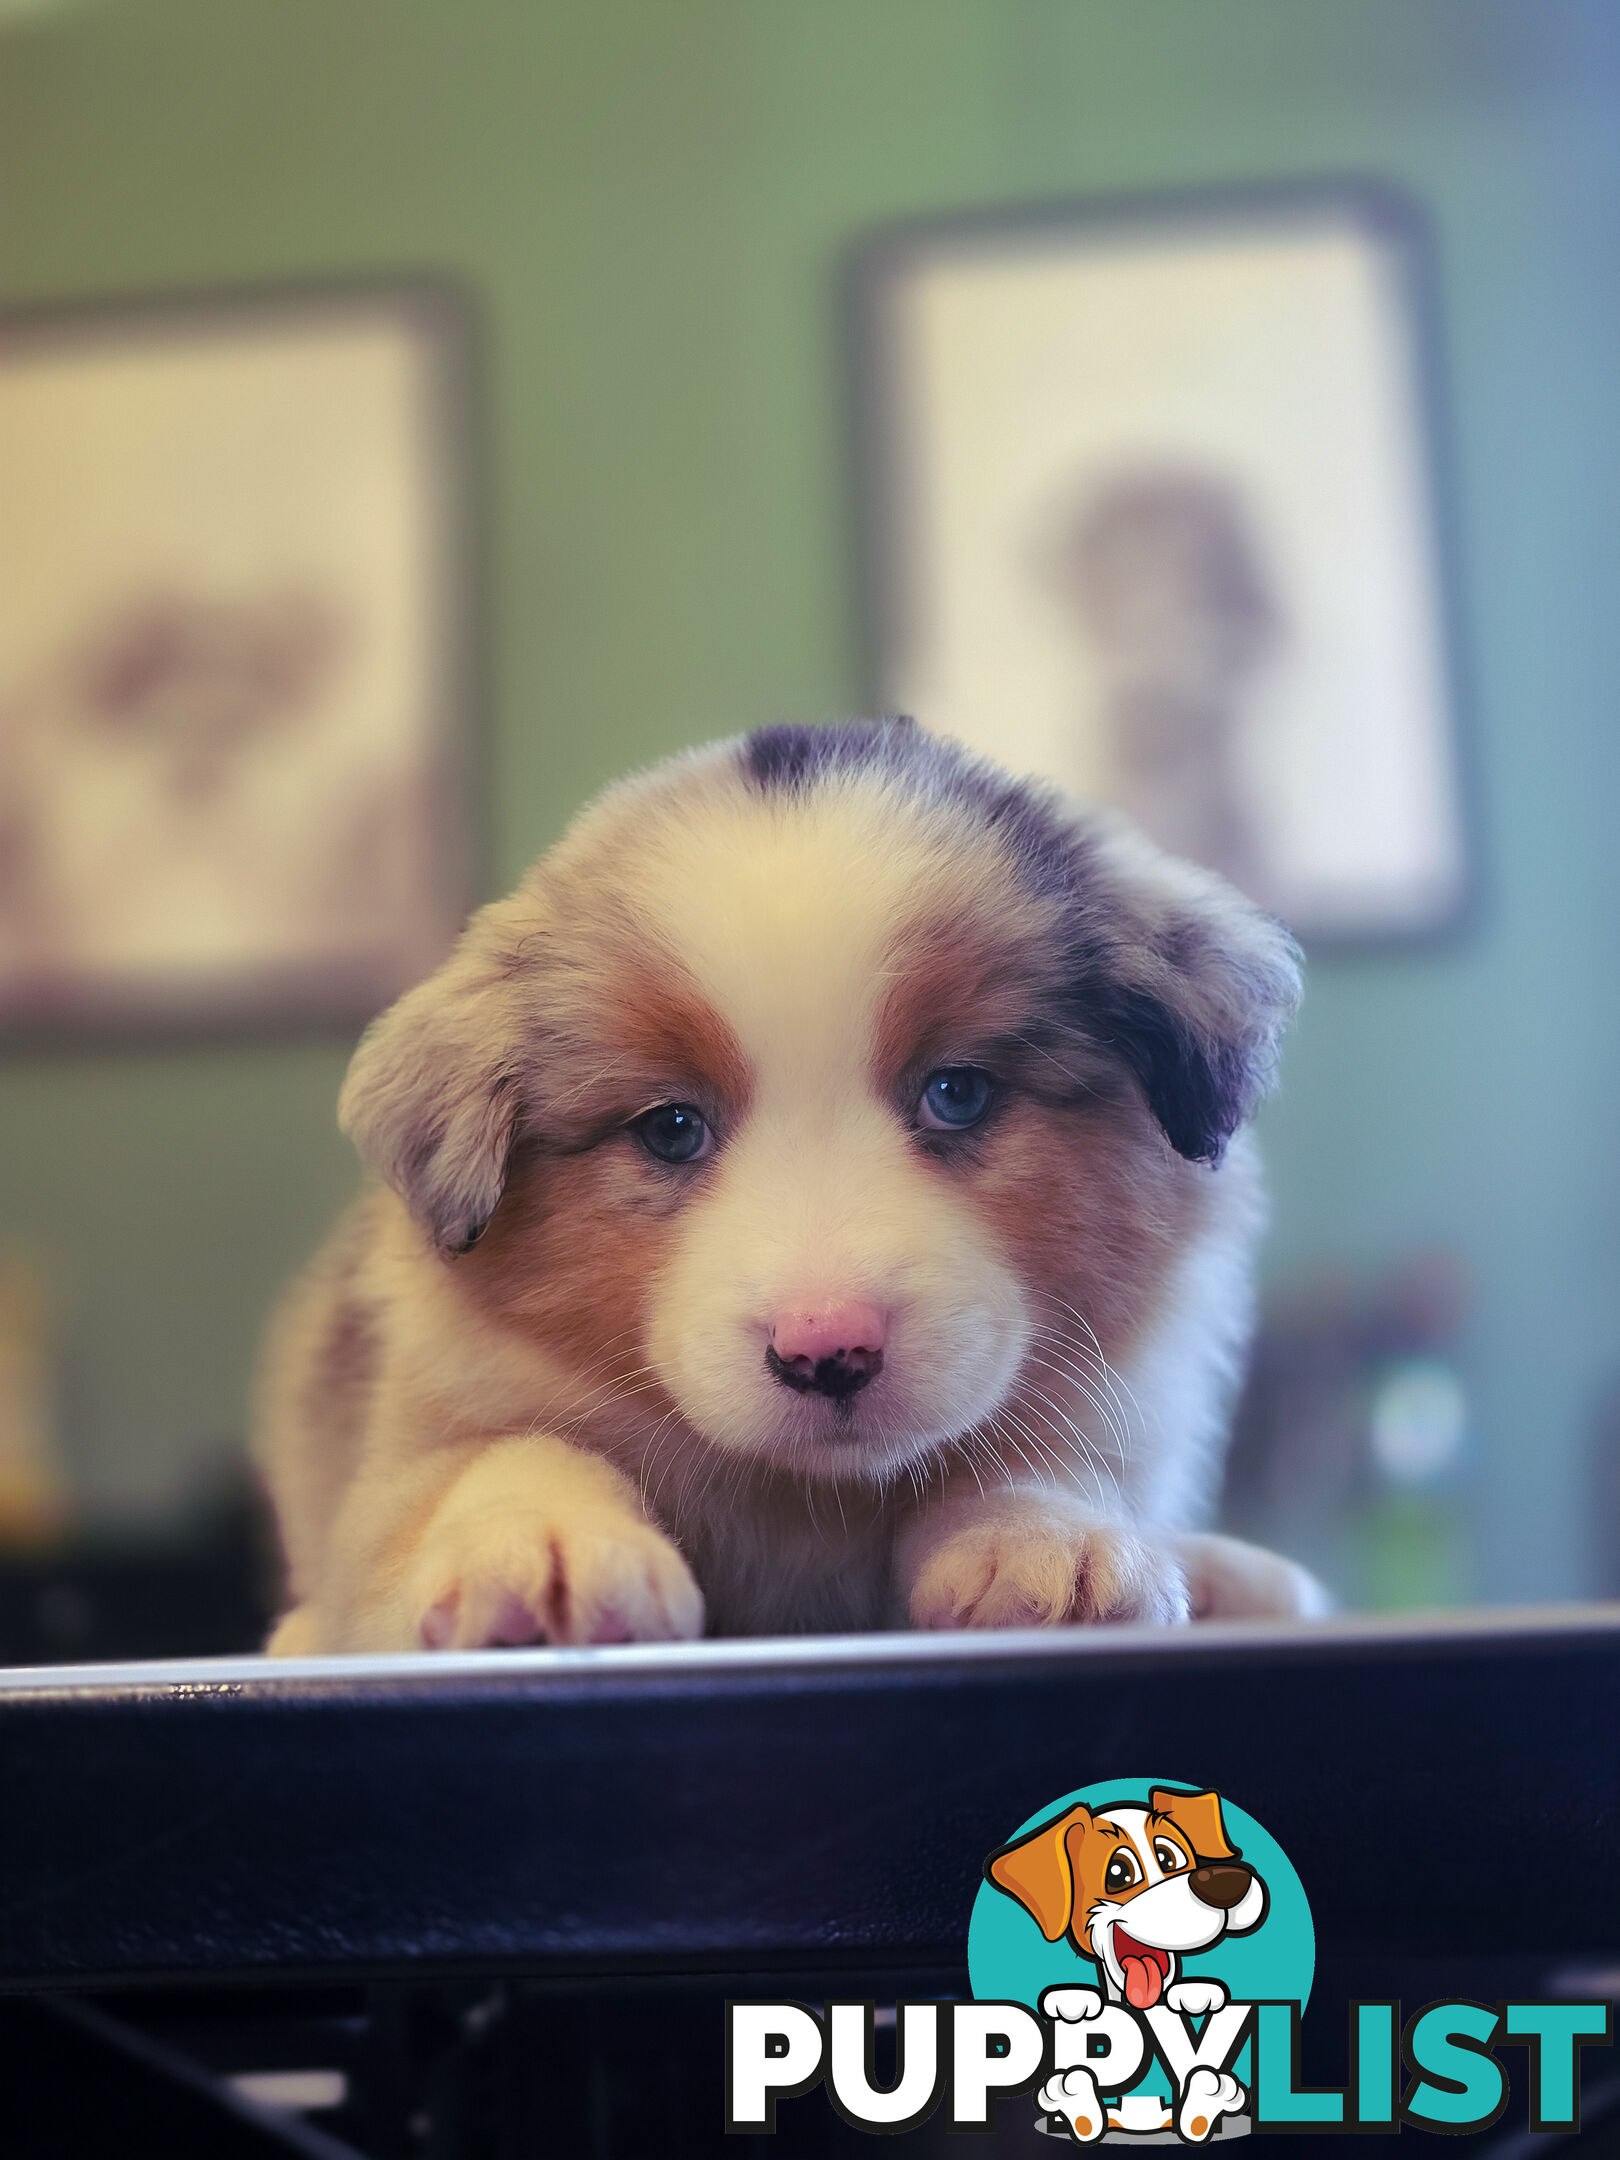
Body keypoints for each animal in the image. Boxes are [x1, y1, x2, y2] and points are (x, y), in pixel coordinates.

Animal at [253, 717, 1321, 1641]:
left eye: (958, 1093)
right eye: (672, 1128)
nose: (827, 1353)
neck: (803, 1498)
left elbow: (1039, 1457)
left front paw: (1048, 1541)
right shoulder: (417, 1439)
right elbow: (499, 1452)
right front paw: (538, 1544)